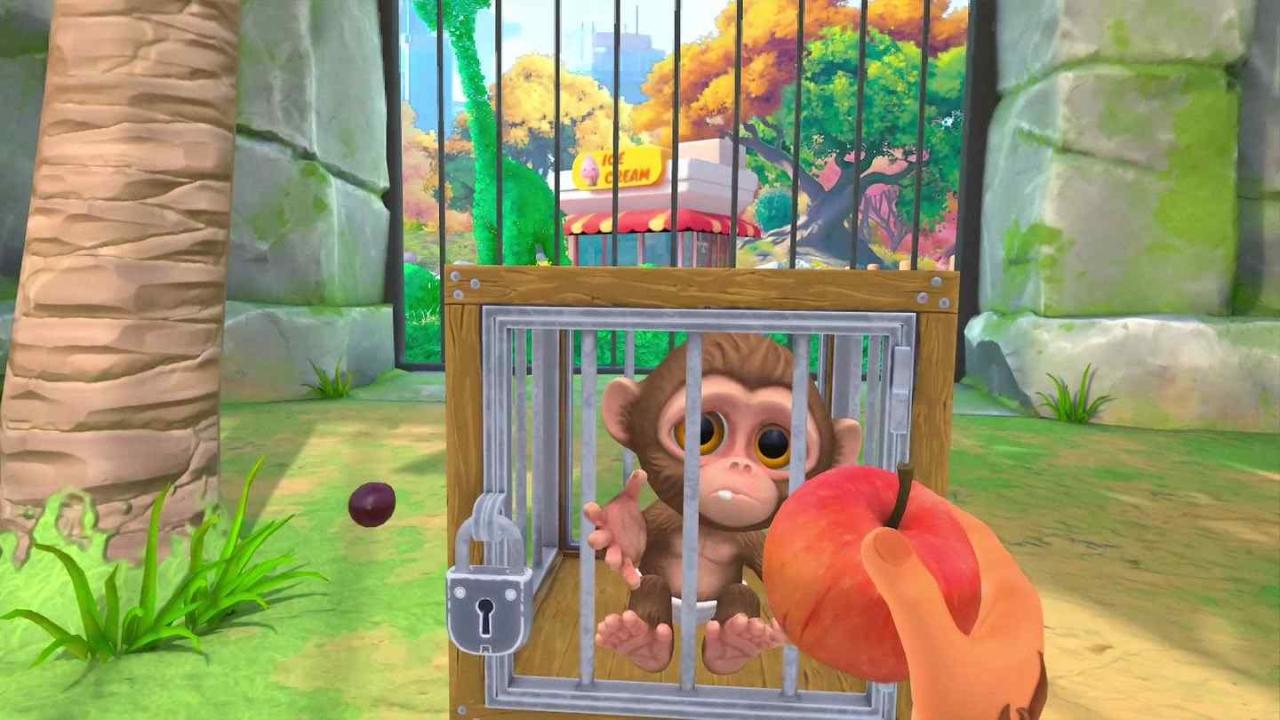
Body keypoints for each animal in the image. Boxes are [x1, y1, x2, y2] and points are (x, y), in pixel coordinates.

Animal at [583, 333, 863, 675]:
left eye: (774, 443)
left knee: (739, 592)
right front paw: (622, 526)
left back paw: (733, 644)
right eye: (703, 430)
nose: (739, 466)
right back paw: (643, 644)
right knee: (651, 584)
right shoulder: (667, 517)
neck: (707, 528)